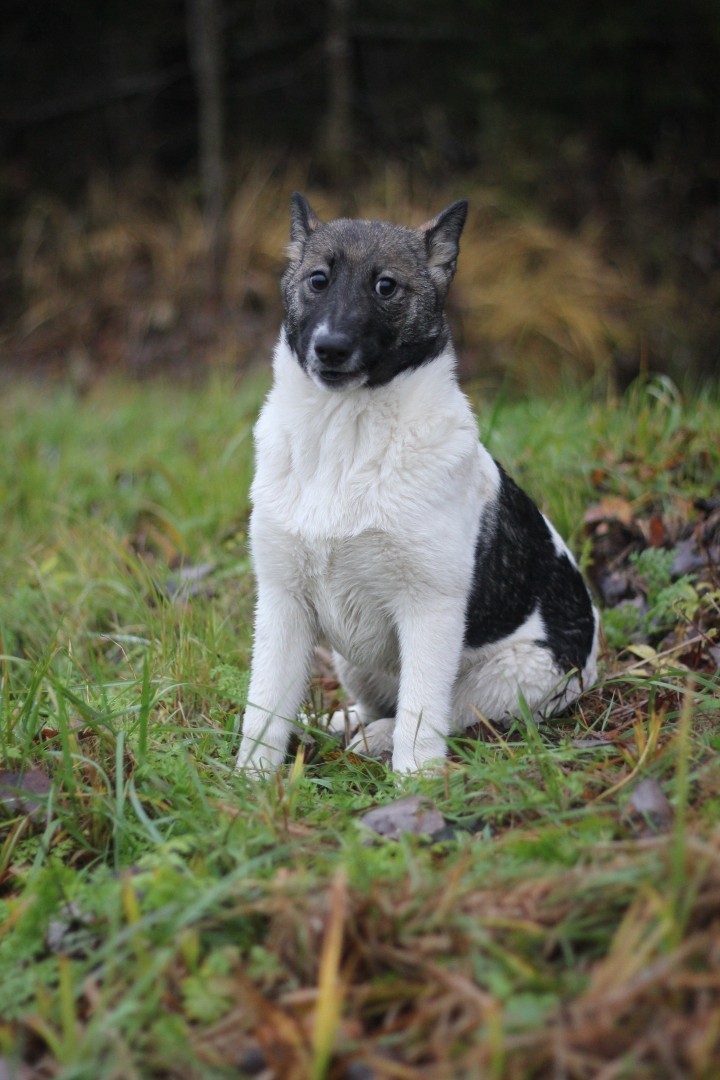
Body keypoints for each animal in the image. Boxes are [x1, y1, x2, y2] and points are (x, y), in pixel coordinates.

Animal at [235, 190, 595, 773]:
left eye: (386, 286)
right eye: (318, 279)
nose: (330, 349)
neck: (348, 435)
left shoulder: (429, 611)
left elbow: (421, 716)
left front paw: (415, 785)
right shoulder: (282, 603)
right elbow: (264, 710)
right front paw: (249, 785)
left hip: (510, 677)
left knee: (443, 713)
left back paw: (376, 738)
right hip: (351, 662)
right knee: (375, 703)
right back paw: (342, 722)